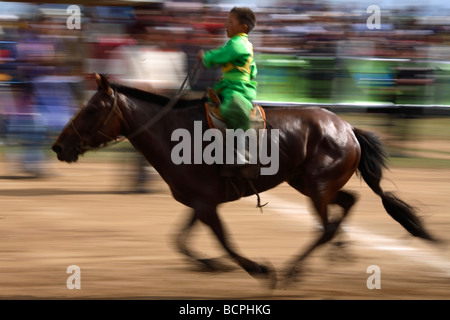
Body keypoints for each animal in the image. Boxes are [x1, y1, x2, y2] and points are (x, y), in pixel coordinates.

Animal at [51, 73, 434, 288]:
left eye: (90, 109)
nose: (58, 146)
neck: (176, 134)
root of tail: (348, 128)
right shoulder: (199, 203)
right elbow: (181, 241)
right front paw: (210, 265)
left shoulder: (206, 205)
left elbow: (224, 242)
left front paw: (259, 269)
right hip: (309, 184)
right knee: (347, 205)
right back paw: (340, 249)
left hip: (316, 187)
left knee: (326, 226)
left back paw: (294, 269)